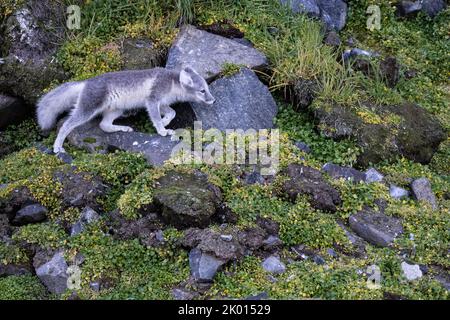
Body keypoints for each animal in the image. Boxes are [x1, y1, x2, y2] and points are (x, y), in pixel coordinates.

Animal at [37, 66, 216, 154]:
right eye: (202, 91)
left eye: (208, 89)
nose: (213, 100)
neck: (172, 83)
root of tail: (85, 82)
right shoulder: (152, 100)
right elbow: (156, 117)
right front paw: (162, 129)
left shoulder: (163, 103)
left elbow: (172, 113)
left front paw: (166, 123)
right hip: (88, 108)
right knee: (66, 125)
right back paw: (57, 147)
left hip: (117, 110)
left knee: (104, 125)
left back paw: (123, 128)